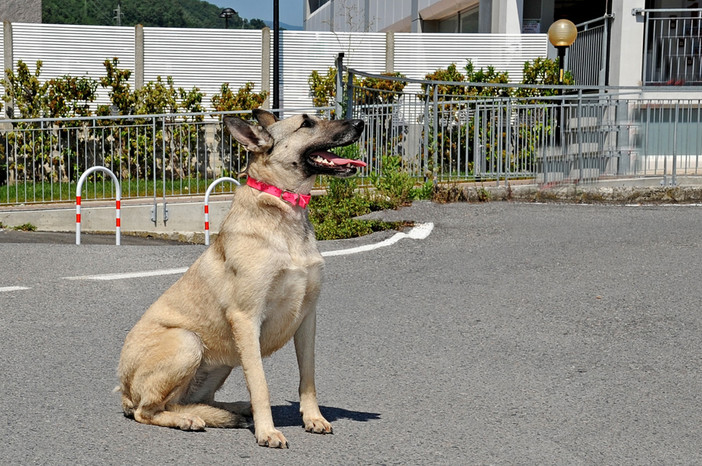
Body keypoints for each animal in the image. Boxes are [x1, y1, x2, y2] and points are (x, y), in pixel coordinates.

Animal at [117, 109, 366, 448]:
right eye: (306, 123)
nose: (360, 123)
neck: (283, 206)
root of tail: (124, 391)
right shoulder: (247, 319)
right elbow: (260, 383)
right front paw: (267, 431)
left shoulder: (307, 319)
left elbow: (308, 377)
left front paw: (313, 417)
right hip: (188, 342)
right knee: (149, 410)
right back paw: (188, 420)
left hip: (221, 363)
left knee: (186, 401)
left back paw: (229, 410)